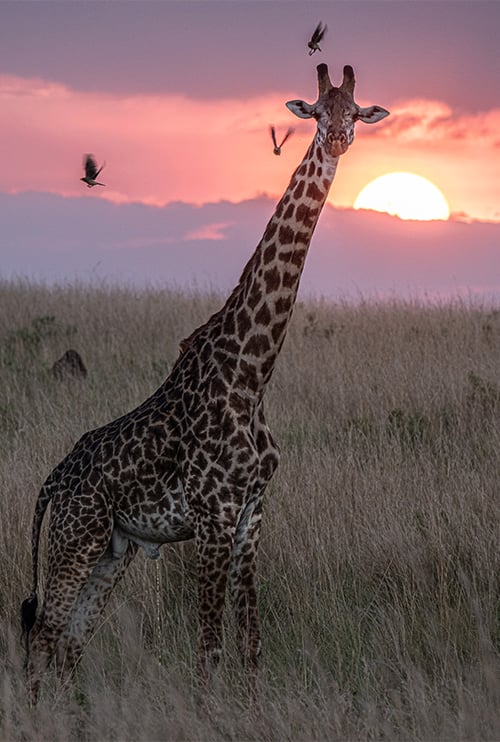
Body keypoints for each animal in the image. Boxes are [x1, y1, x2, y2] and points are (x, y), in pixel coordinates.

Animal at [21, 63, 389, 703]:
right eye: (318, 111)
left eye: (357, 112)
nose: (339, 140)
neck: (251, 373)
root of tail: (51, 483)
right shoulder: (213, 517)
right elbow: (209, 649)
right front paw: (208, 709)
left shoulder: (252, 514)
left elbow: (251, 645)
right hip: (74, 542)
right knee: (42, 641)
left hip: (111, 551)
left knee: (69, 646)